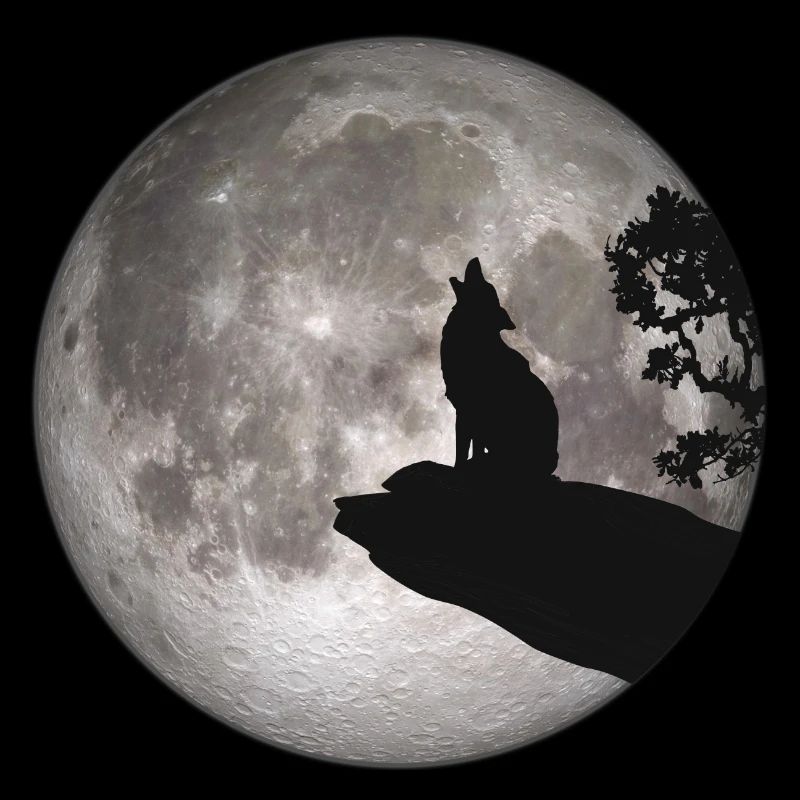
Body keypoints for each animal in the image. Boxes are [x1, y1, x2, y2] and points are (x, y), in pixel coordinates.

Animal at [440, 257, 559, 479]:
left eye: (486, 286)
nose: (476, 259)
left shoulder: (468, 413)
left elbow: (461, 451)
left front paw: (460, 470)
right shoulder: (467, 416)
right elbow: (472, 449)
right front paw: (472, 463)